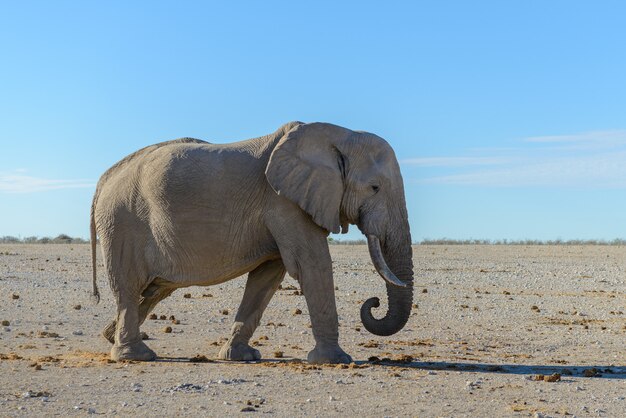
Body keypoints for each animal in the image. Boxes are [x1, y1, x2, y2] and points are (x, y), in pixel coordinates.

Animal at [90, 121, 412, 362]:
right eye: (375, 188)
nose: (374, 302)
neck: (338, 135)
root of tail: (105, 178)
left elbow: (267, 276)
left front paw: (241, 356)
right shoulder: (284, 202)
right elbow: (312, 264)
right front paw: (334, 360)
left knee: (155, 289)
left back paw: (110, 335)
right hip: (122, 223)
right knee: (129, 287)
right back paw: (135, 355)